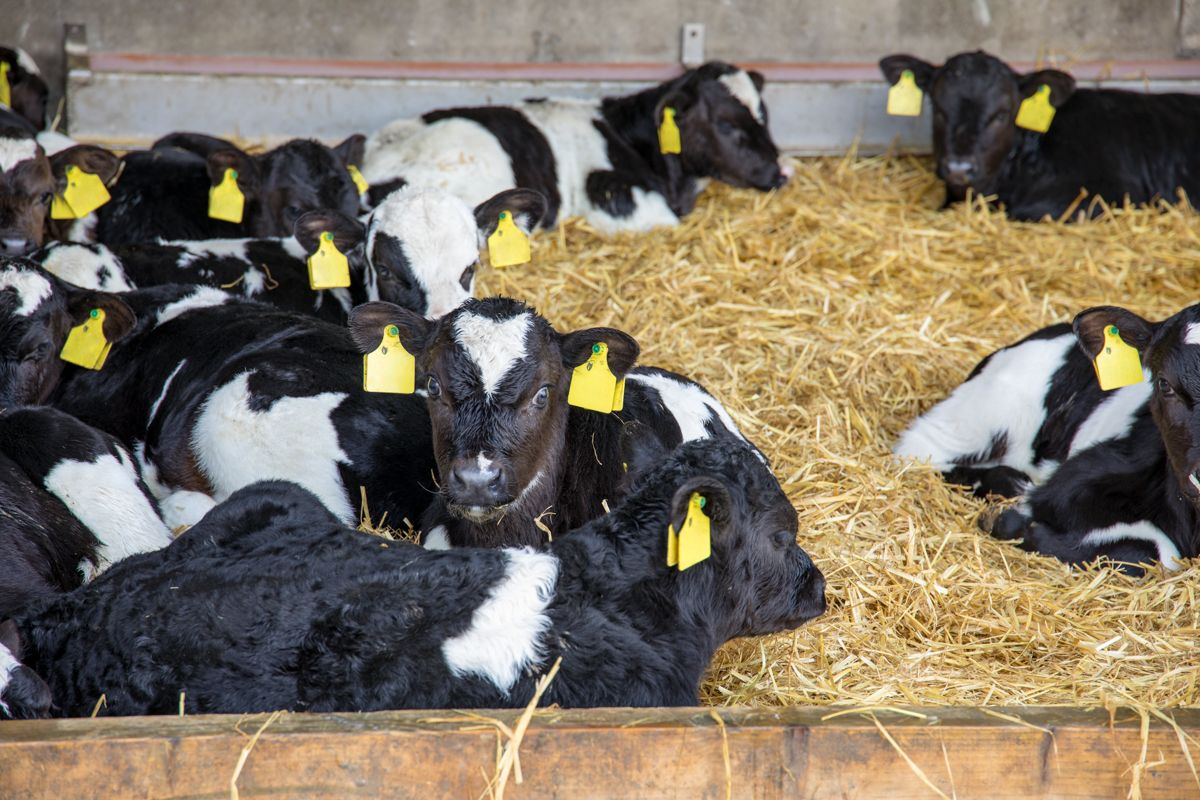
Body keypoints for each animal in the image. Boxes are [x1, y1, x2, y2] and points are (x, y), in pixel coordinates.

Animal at [894, 306, 1200, 573]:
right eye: (1164, 383)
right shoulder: (1073, 481)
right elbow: (1151, 553)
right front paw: (1006, 518)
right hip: (979, 415)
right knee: (918, 451)